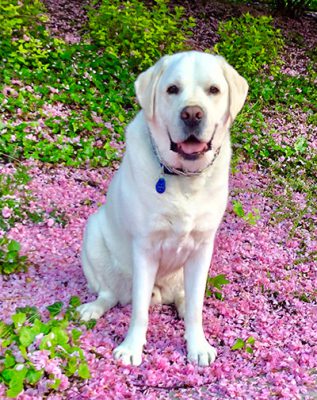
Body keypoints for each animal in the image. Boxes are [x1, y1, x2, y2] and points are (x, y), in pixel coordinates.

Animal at [78, 50, 248, 366]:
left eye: (214, 90)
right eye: (172, 89)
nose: (192, 114)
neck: (184, 177)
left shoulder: (202, 247)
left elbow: (195, 308)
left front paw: (197, 345)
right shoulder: (144, 247)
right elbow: (139, 312)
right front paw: (132, 348)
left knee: (185, 299)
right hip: (92, 233)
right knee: (110, 293)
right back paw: (93, 308)